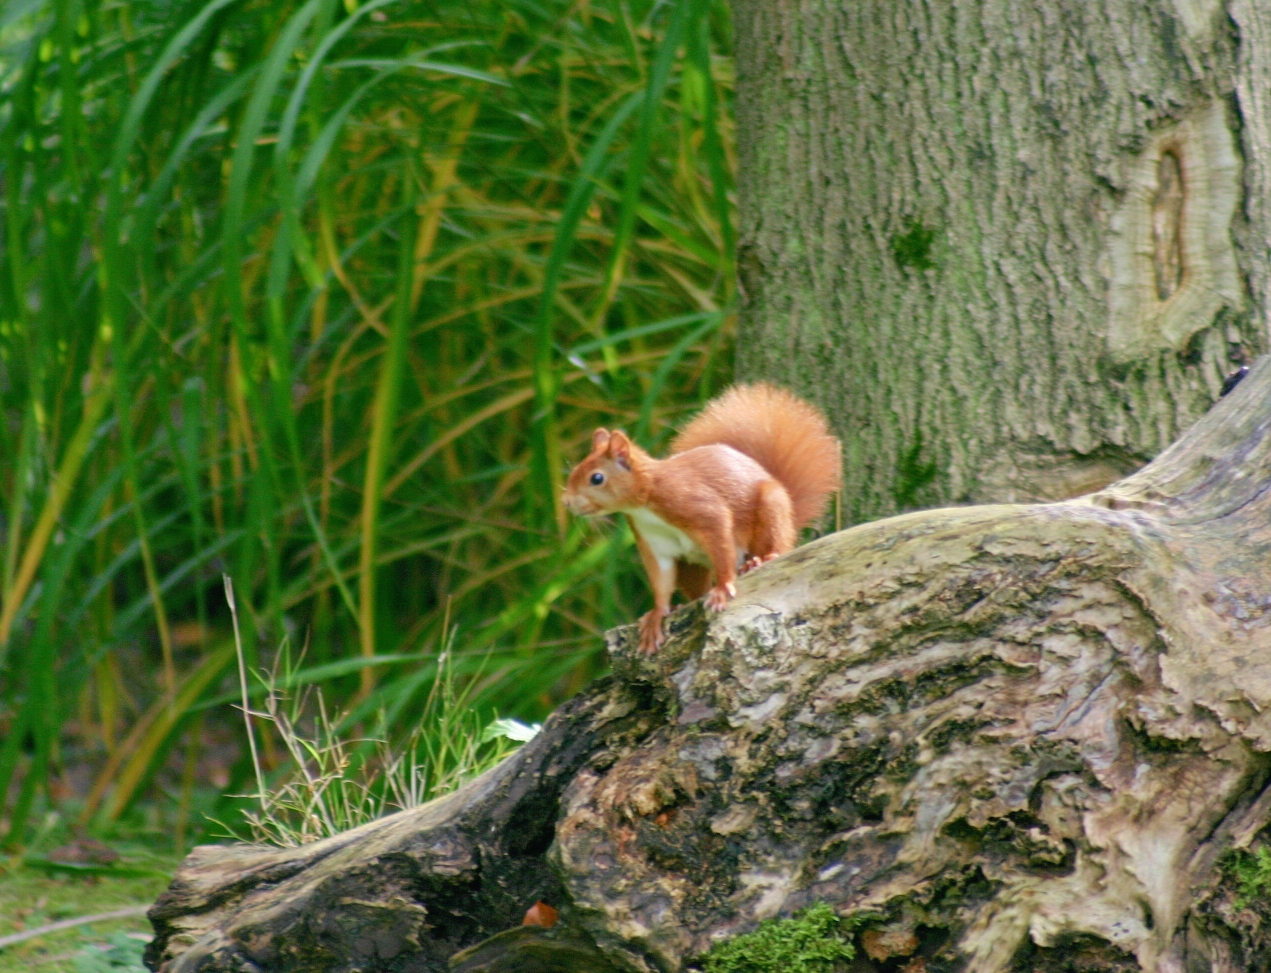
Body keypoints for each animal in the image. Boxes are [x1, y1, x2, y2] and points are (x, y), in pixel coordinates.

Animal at [561, 383, 838, 655]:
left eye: (597, 478)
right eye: (574, 471)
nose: (566, 502)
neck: (646, 503)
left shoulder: (703, 510)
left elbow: (722, 547)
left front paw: (723, 588)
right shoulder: (652, 541)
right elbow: (661, 579)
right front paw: (657, 615)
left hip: (772, 510)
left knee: (775, 544)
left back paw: (759, 561)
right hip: (690, 567)